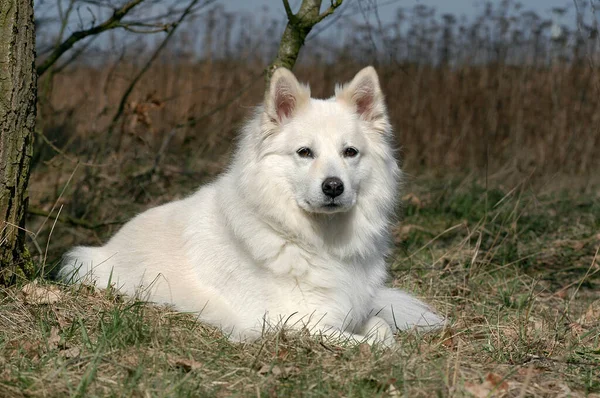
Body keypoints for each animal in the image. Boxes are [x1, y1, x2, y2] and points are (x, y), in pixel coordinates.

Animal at [59, 67, 446, 346]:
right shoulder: (288, 322)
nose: (334, 187)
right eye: (305, 152)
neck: (311, 240)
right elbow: (367, 343)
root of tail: (106, 245)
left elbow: (382, 328)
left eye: (350, 152)